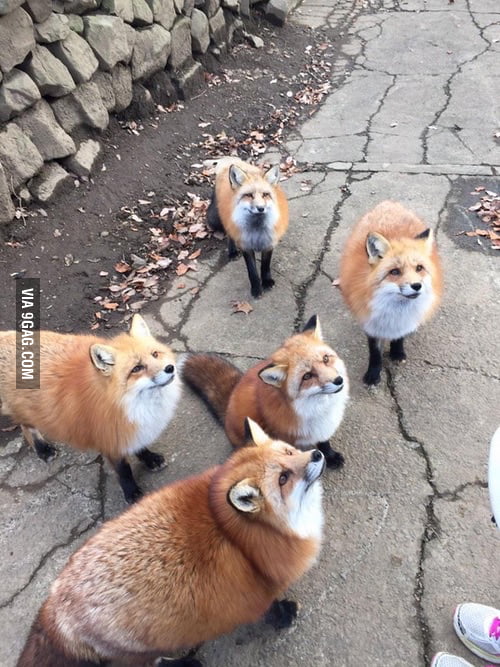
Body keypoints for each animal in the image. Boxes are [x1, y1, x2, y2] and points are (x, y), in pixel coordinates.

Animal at [0, 314, 180, 504]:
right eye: (136, 368)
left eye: (155, 354)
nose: (170, 368)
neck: (126, 404)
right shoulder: (109, 438)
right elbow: (124, 471)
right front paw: (132, 493)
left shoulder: (130, 430)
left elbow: (140, 447)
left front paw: (150, 459)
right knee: (26, 427)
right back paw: (43, 449)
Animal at [17, 418, 325, 667]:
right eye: (283, 478)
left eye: (288, 452)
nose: (318, 453)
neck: (237, 534)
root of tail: (53, 603)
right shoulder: (254, 593)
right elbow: (271, 611)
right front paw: (284, 616)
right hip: (147, 649)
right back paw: (185, 663)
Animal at [182, 314, 348, 468]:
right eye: (307, 376)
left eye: (325, 359)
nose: (338, 380)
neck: (317, 409)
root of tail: (230, 399)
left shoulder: (322, 428)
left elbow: (324, 443)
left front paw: (330, 456)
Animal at [205, 156, 289, 298]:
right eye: (249, 195)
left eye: (265, 194)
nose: (260, 208)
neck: (257, 230)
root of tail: (230, 159)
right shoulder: (245, 245)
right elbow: (252, 272)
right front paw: (256, 289)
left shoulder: (269, 243)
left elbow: (265, 266)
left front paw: (266, 282)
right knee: (229, 234)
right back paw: (232, 252)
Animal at [339, 200, 443, 386]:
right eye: (395, 272)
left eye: (419, 268)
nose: (417, 286)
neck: (396, 311)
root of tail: (389, 202)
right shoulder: (371, 322)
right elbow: (375, 353)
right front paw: (373, 374)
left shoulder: (404, 322)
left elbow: (400, 337)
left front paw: (397, 352)